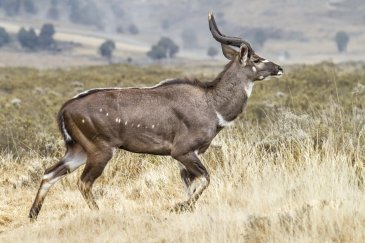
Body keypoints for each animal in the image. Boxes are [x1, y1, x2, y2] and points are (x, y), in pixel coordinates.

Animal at [29, 11, 282, 220]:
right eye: (256, 59)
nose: (279, 68)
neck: (211, 103)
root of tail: (65, 108)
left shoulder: (190, 156)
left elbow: (192, 184)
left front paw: (184, 208)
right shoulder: (182, 151)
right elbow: (206, 179)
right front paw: (178, 207)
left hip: (78, 151)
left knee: (49, 174)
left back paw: (32, 215)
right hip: (100, 151)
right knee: (83, 182)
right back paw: (99, 213)